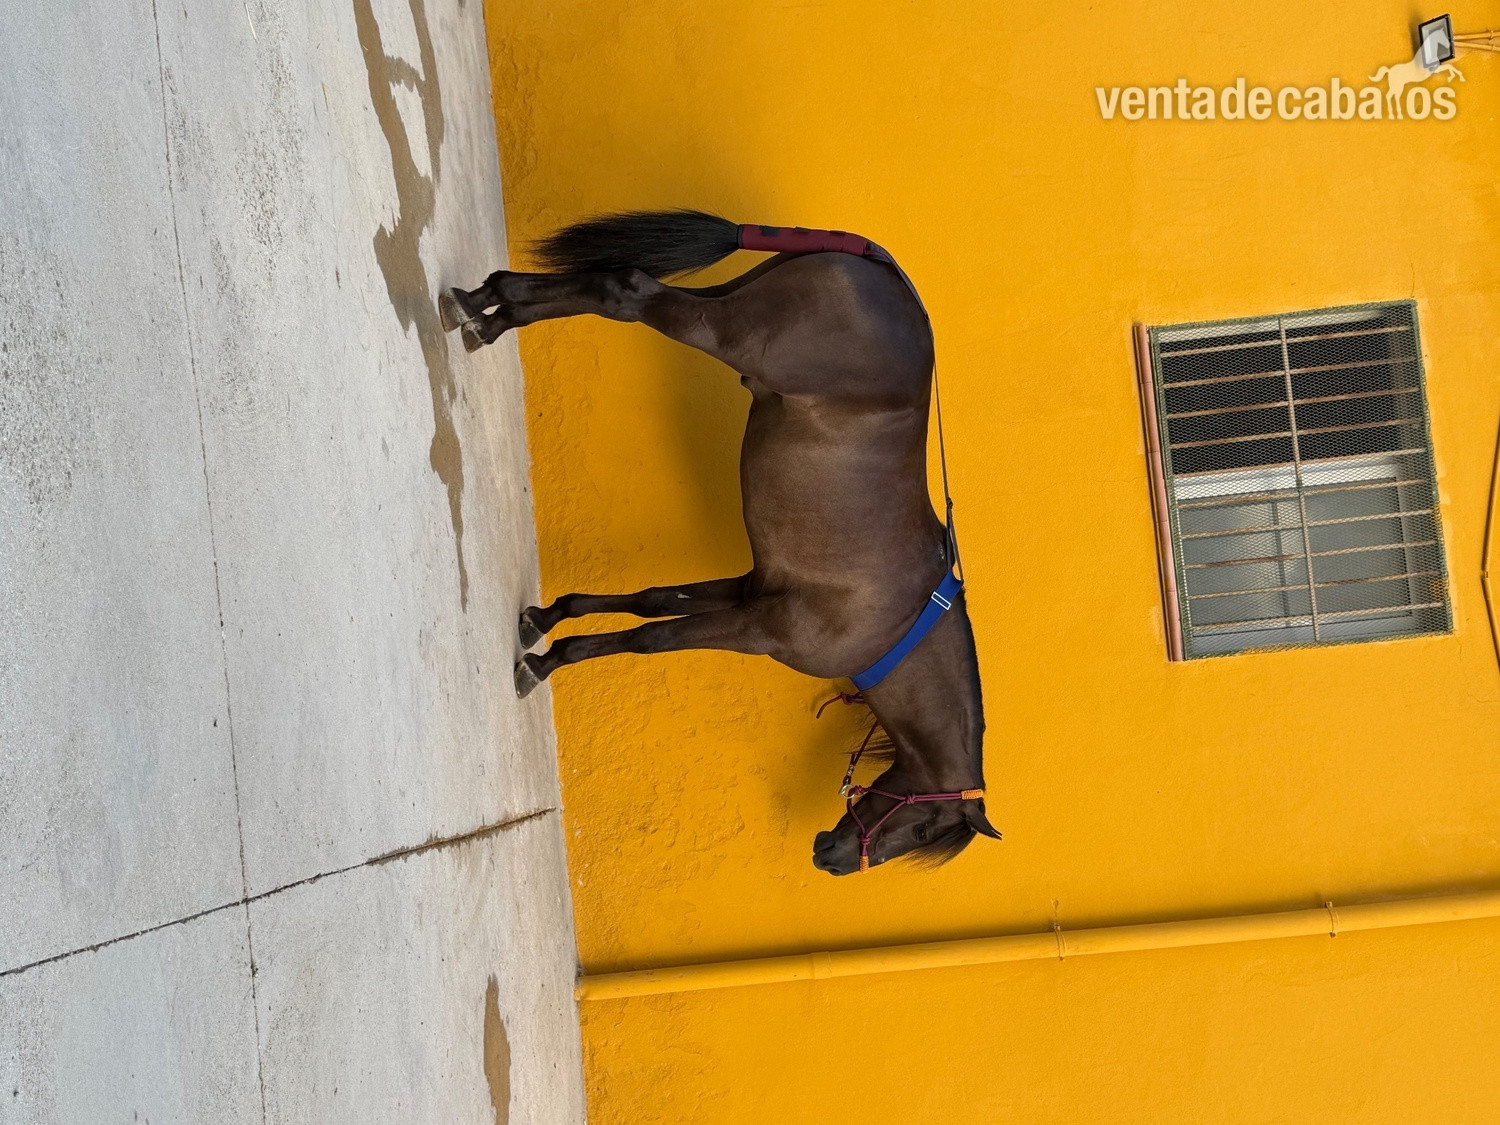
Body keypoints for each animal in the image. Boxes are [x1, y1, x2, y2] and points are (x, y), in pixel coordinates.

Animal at [439, 210, 1000, 875]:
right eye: (922, 829)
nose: (831, 858)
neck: (897, 623)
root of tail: (876, 264)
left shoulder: (747, 591)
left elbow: (652, 602)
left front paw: (545, 622)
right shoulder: (756, 630)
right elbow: (652, 639)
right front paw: (546, 661)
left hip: (730, 300)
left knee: (612, 283)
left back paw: (486, 304)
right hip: (718, 327)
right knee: (626, 291)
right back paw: (486, 315)